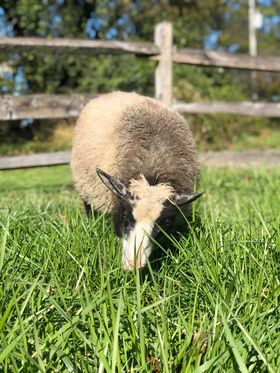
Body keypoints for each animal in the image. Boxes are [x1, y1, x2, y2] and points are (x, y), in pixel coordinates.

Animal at [71, 91, 202, 268]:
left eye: (166, 223)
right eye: (125, 216)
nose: (133, 264)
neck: (153, 172)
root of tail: (113, 93)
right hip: (85, 186)